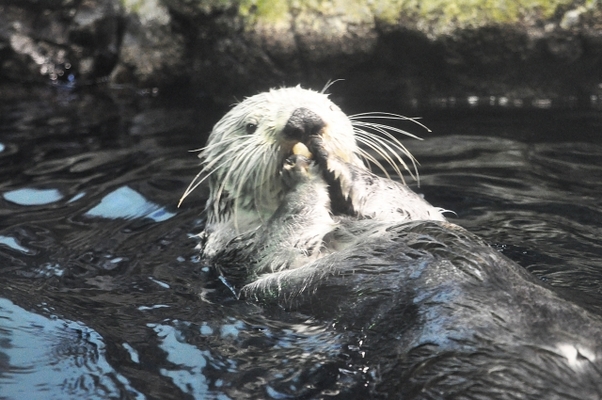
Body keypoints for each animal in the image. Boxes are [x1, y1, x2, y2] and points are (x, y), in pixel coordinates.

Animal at [182, 86, 600, 396]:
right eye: (249, 126)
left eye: (328, 107)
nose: (304, 121)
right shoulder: (245, 253)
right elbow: (287, 239)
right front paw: (301, 171)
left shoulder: (409, 213)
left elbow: (397, 199)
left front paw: (337, 165)